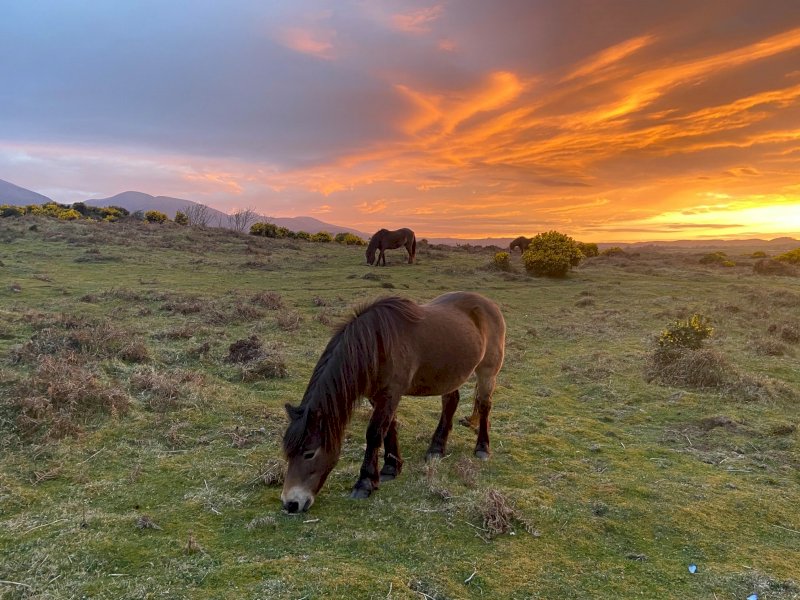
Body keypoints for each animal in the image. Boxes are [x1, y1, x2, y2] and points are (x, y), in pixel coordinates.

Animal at [282, 290, 506, 510]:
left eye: (309, 453)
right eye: (288, 453)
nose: (290, 504)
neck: (377, 344)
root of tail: (489, 304)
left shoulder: (391, 393)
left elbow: (374, 433)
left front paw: (365, 483)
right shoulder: (377, 396)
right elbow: (389, 427)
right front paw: (391, 467)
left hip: (487, 373)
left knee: (484, 406)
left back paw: (482, 448)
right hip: (450, 374)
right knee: (450, 402)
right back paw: (436, 449)